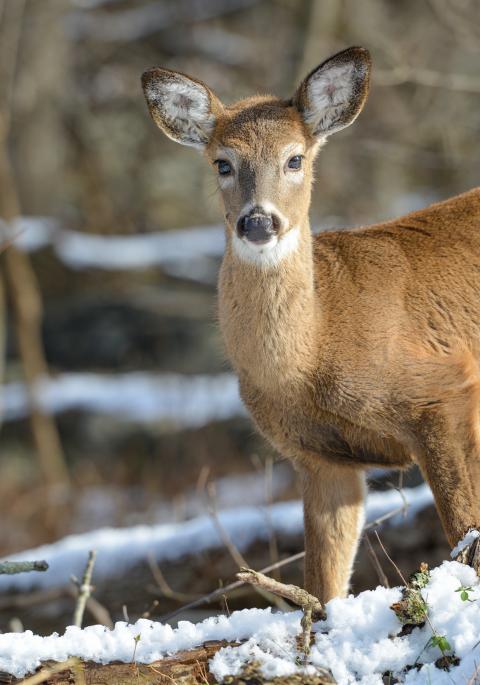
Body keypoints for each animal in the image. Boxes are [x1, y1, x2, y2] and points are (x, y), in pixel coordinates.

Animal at [142, 46, 480, 604]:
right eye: (222, 163)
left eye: (295, 158)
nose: (258, 222)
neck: (313, 352)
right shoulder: (320, 459)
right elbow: (322, 585)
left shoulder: (445, 391)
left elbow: (465, 533)